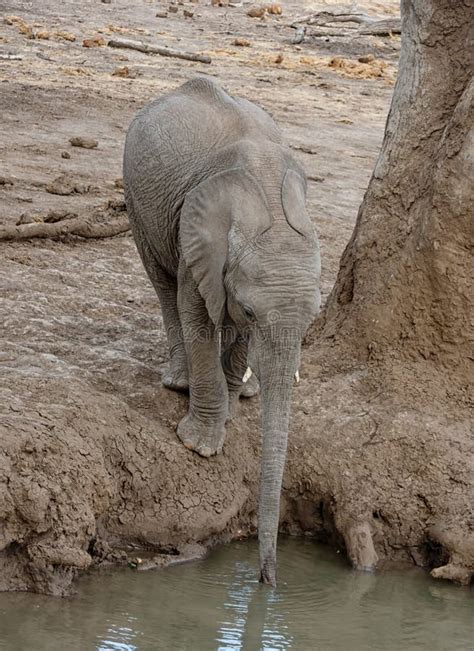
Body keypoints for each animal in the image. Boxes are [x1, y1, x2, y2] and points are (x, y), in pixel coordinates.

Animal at [123, 76, 322, 584]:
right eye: (251, 310)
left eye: (314, 316)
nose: (267, 582)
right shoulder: (197, 235)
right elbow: (196, 315)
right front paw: (200, 447)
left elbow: (238, 340)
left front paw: (233, 406)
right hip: (137, 199)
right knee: (161, 283)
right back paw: (178, 381)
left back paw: (244, 393)